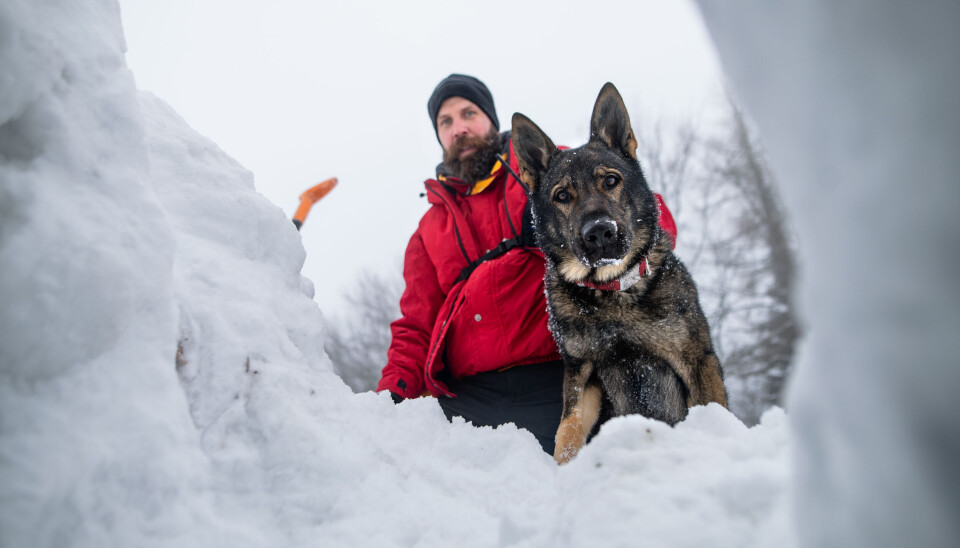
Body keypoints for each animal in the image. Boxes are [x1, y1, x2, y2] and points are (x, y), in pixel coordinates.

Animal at [512, 83, 724, 464]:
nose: (599, 233)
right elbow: (567, 432)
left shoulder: (698, 360)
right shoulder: (582, 374)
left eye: (611, 180)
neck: (611, 291)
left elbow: (717, 411)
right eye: (562, 195)